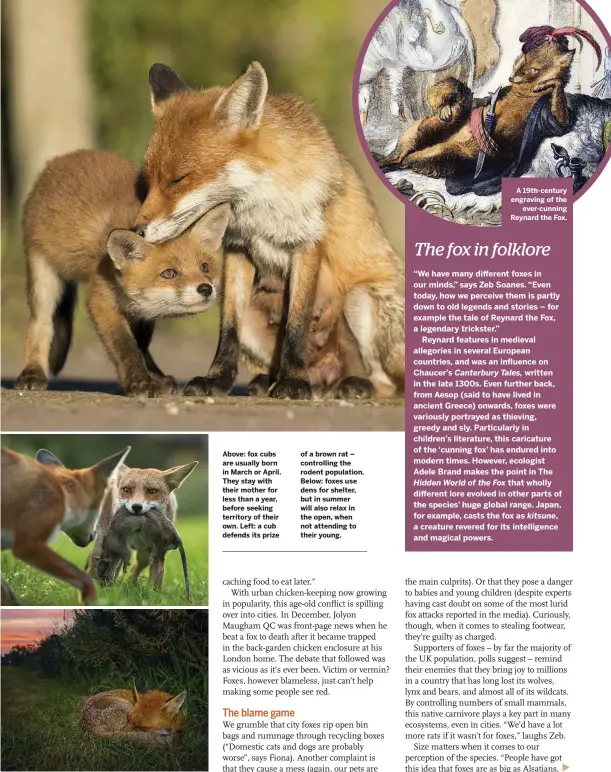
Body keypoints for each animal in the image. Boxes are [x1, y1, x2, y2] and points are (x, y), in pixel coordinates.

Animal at [1, 446, 129, 604]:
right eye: (99, 510)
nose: (94, 536)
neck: (63, 494)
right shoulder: (28, 545)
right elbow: (85, 578)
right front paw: (91, 601)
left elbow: (7, 593)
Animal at [139, 61, 406, 398]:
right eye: (149, 181)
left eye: (178, 179)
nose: (137, 230)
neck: (260, 210)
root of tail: (329, 377)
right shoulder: (237, 249)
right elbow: (228, 329)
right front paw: (217, 379)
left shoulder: (307, 241)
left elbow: (296, 322)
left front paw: (292, 381)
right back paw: (273, 381)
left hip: (361, 300)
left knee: (389, 384)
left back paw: (353, 385)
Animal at [380, 23, 604, 196]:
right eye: (520, 61)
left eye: (534, 69)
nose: (512, 77)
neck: (522, 94)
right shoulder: (484, 99)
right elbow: (469, 96)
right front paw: (446, 104)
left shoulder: (551, 121)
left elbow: (559, 116)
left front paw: (552, 85)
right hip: (423, 131)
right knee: (399, 155)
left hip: (437, 154)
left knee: (403, 160)